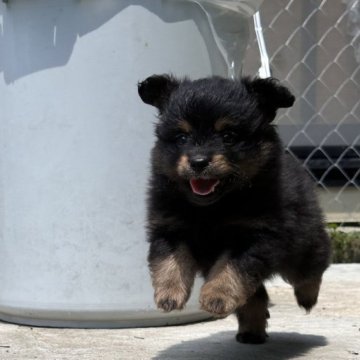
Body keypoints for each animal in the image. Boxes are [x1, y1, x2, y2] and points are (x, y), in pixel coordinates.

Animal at [138, 74, 332, 344]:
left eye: (228, 136)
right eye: (182, 137)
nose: (198, 162)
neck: (211, 208)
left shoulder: (255, 237)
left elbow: (230, 269)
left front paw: (215, 297)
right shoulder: (169, 227)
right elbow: (169, 260)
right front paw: (169, 294)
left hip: (302, 244)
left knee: (312, 266)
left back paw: (308, 298)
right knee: (256, 297)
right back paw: (252, 332)